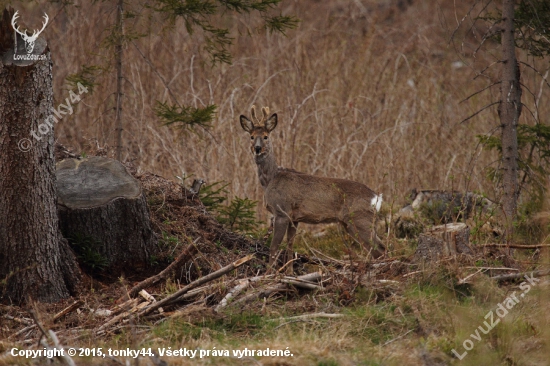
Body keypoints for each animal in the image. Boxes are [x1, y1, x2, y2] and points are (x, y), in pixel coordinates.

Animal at [239, 106, 386, 268]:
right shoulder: (294, 218)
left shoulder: (281, 211)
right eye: (252, 136)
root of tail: (376, 198)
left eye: (266, 136)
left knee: (380, 248)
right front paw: (288, 272)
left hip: (360, 219)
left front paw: (269, 272)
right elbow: (290, 246)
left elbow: (274, 246)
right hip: (355, 222)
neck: (270, 178)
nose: (258, 148)